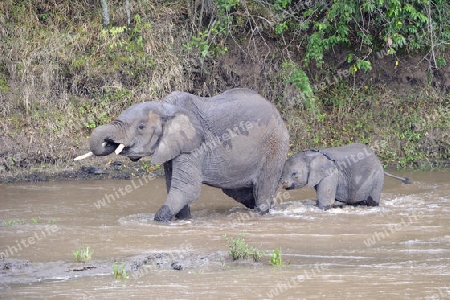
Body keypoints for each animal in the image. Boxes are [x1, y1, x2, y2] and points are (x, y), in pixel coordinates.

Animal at [75, 88, 290, 221]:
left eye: (141, 127)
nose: (110, 142)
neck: (166, 108)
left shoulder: (194, 146)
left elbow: (186, 189)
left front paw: (160, 220)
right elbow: (174, 188)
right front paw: (184, 220)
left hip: (275, 146)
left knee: (262, 191)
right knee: (242, 193)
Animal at [282, 144, 412, 210]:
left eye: (294, 174)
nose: (283, 183)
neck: (313, 155)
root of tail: (378, 160)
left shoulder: (331, 173)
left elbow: (326, 202)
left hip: (377, 178)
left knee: (372, 202)